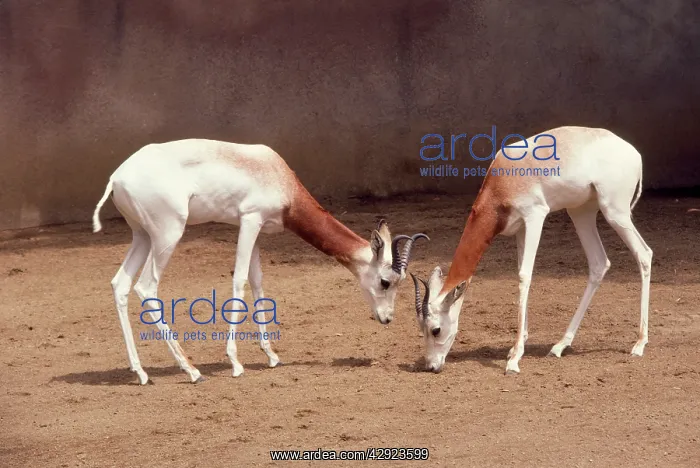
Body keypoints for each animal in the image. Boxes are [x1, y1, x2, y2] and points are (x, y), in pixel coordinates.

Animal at [92, 138, 428, 385]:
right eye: (385, 281)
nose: (387, 318)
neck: (277, 176)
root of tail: (116, 177)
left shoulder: (256, 229)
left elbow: (257, 283)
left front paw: (272, 356)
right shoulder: (249, 220)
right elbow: (239, 281)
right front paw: (235, 362)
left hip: (141, 236)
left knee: (120, 284)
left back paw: (141, 372)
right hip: (168, 234)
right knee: (147, 287)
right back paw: (192, 371)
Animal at [411, 126, 652, 374]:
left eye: (436, 329)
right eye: (421, 328)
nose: (431, 366)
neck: (505, 180)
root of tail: (632, 152)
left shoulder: (535, 216)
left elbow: (524, 276)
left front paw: (514, 360)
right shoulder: (519, 229)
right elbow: (519, 274)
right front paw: (515, 348)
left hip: (615, 212)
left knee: (644, 254)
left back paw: (639, 343)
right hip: (581, 212)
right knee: (598, 263)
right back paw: (560, 345)